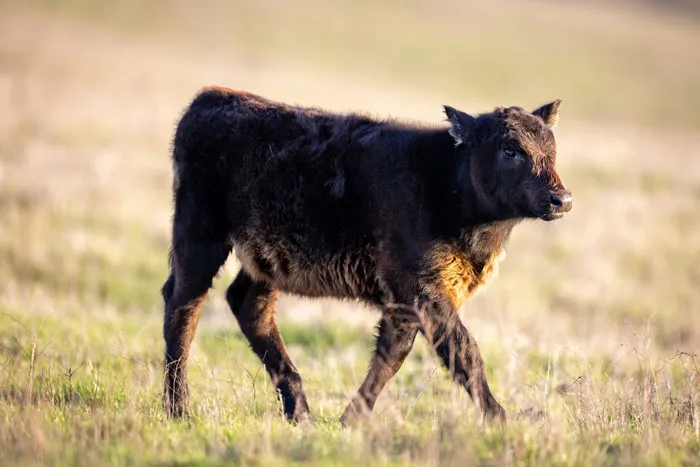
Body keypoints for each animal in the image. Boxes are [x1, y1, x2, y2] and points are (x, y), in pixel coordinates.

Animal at [161, 86, 572, 425]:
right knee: (184, 307)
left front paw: (350, 419)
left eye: (552, 149)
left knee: (248, 306)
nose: (562, 199)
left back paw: (299, 412)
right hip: (199, 239)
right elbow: (463, 352)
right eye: (510, 149)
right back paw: (179, 410)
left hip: (265, 264)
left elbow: (392, 354)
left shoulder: (405, 302)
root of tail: (208, 100)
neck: (446, 181)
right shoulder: (424, 292)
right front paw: (500, 417)